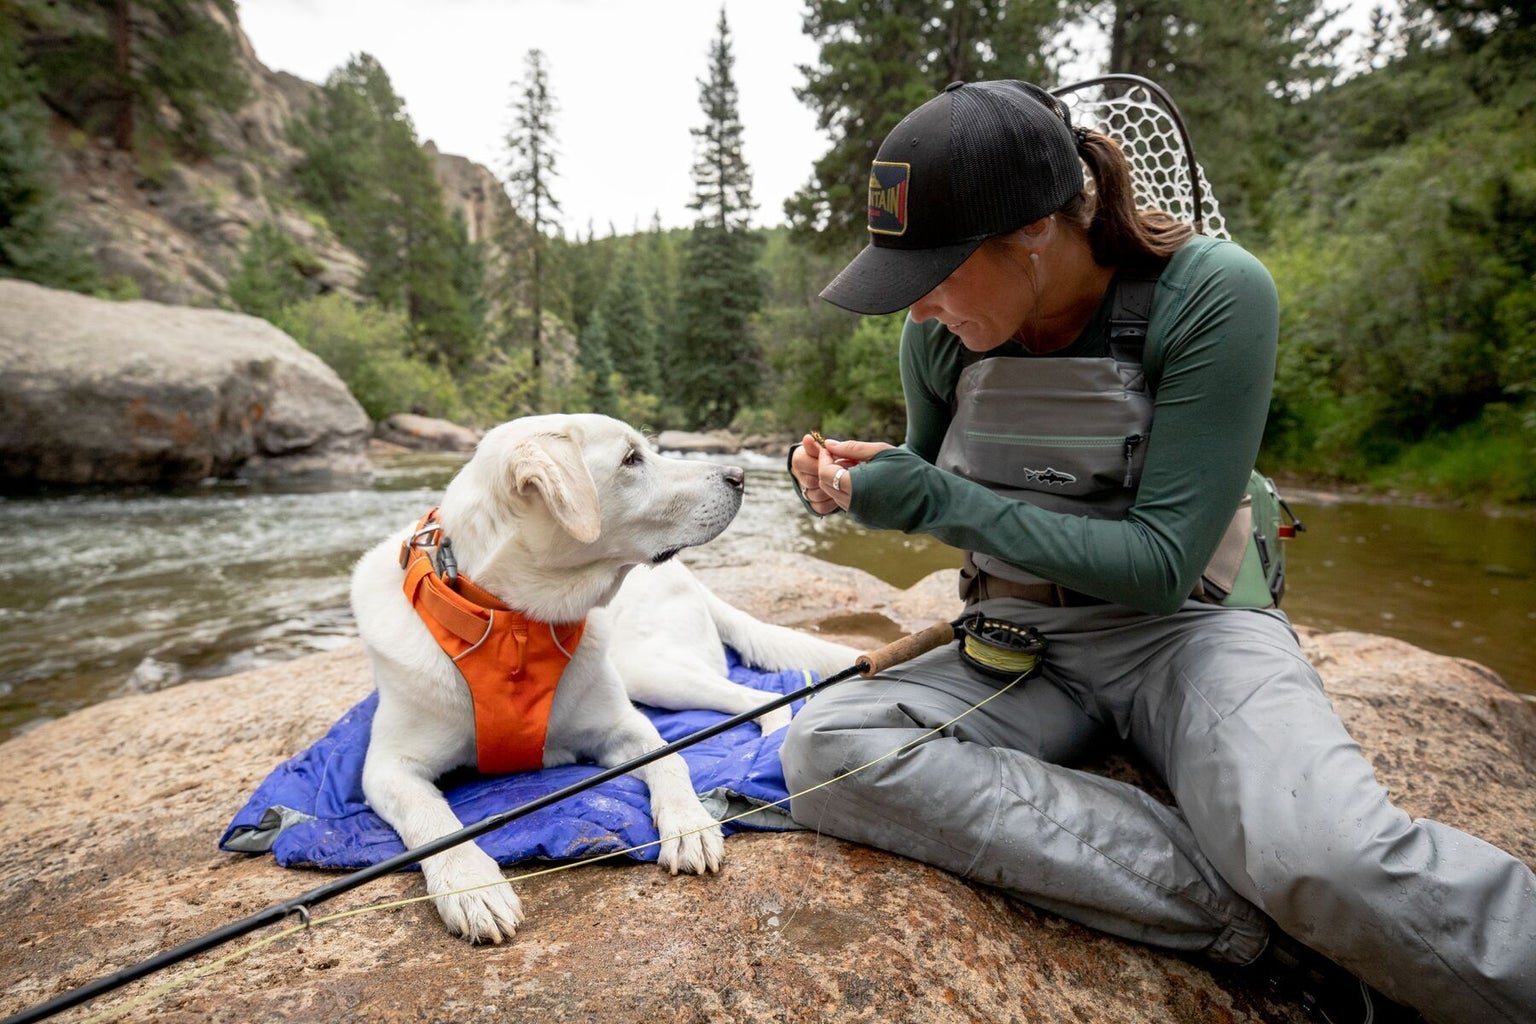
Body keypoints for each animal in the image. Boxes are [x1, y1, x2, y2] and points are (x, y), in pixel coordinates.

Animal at [351, 414, 854, 945]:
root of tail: (694, 581)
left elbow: (671, 759)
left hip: (650, 671)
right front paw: (471, 884)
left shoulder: (624, 727)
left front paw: (688, 823)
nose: (740, 475)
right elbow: (434, 820)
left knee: (763, 698)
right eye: (631, 459)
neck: (515, 630)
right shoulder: (387, 768)